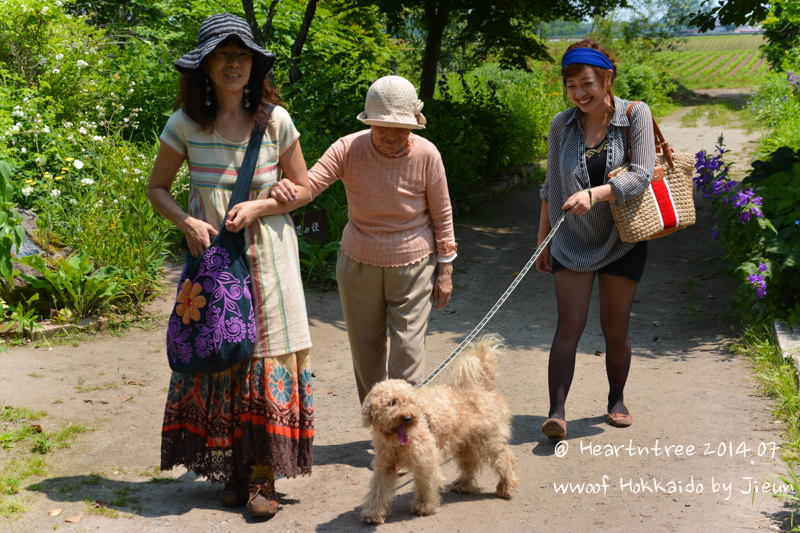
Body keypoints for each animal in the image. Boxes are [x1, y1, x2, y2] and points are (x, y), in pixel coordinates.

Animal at [358, 334, 520, 520]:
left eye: (410, 401)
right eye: (391, 403)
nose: (407, 417)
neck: (396, 443)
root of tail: (484, 386)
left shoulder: (425, 461)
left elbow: (425, 485)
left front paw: (423, 506)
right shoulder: (385, 465)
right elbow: (378, 488)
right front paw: (372, 512)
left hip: (489, 441)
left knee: (505, 459)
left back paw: (507, 486)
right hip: (465, 442)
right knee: (470, 462)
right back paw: (463, 484)